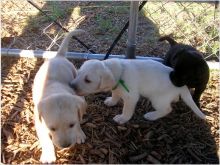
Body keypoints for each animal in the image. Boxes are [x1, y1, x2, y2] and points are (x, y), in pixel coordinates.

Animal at [32, 29, 87, 162]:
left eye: (71, 125)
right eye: (52, 128)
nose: (66, 145)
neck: (55, 91)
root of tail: (58, 56)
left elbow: (78, 119)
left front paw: (79, 133)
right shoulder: (39, 123)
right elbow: (45, 139)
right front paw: (48, 155)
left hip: (74, 73)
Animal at [70, 58, 206, 124]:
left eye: (88, 80)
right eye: (78, 73)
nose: (71, 86)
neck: (120, 72)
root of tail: (182, 86)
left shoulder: (131, 97)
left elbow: (126, 110)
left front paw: (122, 118)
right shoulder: (116, 88)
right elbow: (115, 94)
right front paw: (111, 101)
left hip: (157, 99)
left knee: (167, 109)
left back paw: (151, 115)